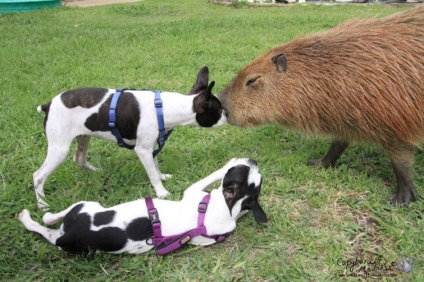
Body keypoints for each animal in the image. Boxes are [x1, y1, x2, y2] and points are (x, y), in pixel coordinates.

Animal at [19, 159, 268, 256]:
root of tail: (69, 234)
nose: (254, 160)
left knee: (47, 223)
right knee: (49, 229)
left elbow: (211, 175)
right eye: (251, 172)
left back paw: (31, 216)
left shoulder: (193, 192)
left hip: (84, 206)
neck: (230, 208)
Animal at [33, 66, 227, 207]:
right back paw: (43, 204)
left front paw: (162, 177)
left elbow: (155, 167)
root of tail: (49, 104)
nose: (228, 113)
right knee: (38, 176)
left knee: (79, 158)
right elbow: (152, 174)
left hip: (83, 137)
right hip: (59, 148)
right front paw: (162, 192)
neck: (163, 108)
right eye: (218, 111)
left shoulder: (151, 147)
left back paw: (97, 171)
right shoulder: (143, 150)